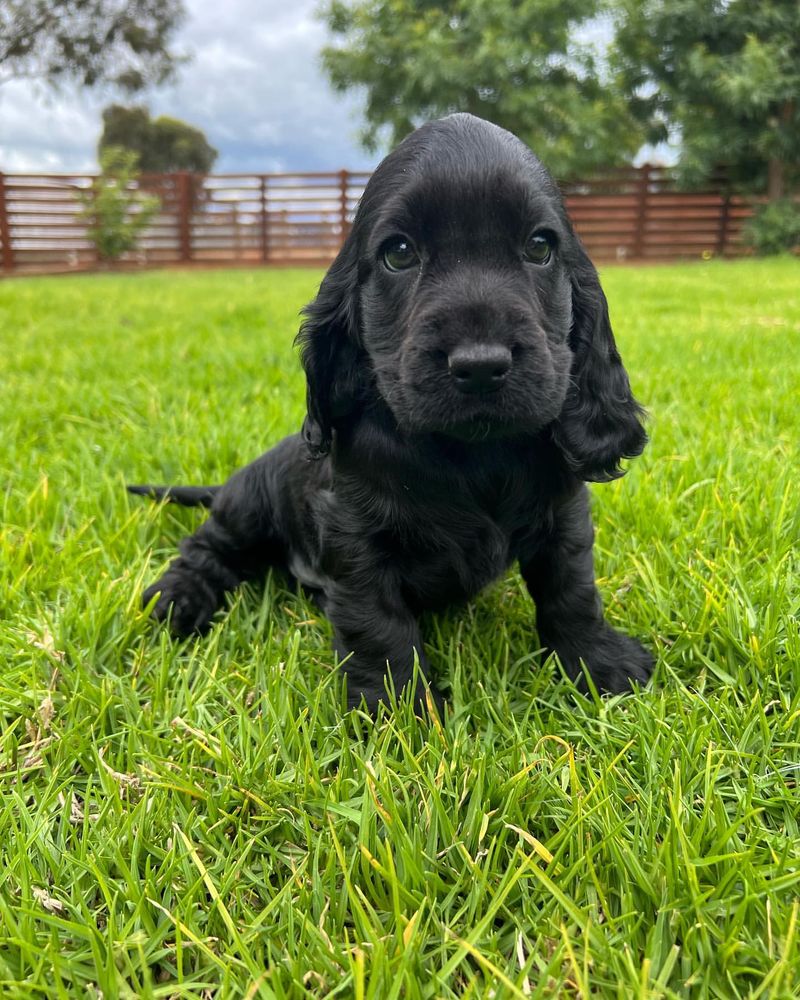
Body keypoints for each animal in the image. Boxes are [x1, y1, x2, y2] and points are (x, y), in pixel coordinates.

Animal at [131, 113, 652, 712]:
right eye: (399, 253)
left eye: (540, 246)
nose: (480, 365)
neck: (474, 453)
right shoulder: (357, 539)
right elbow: (377, 624)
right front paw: (399, 711)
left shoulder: (563, 513)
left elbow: (571, 590)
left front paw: (598, 662)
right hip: (249, 507)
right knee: (207, 547)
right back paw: (177, 598)